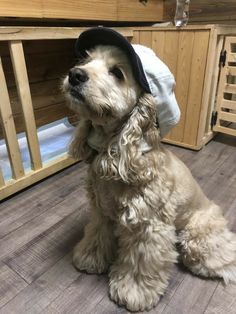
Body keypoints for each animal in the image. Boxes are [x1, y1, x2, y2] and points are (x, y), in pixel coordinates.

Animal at [62, 35, 236, 312]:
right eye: (86, 60)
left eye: (117, 72)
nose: (75, 74)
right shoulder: (101, 211)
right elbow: (97, 234)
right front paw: (90, 257)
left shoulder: (148, 226)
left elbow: (140, 261)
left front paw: (133, 292)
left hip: (196, 237)